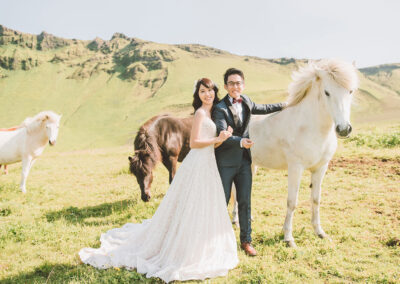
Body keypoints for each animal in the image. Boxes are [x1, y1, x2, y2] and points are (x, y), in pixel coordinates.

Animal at [231, 58, 360, 247]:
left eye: (350, 91)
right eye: (327, 92)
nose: (344, 129)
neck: (309, 127)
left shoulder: (321, 168)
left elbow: (316, 199)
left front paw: (320, 232)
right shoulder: (295, 168)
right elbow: (292, 202)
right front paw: (288, 238)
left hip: (251, 165)